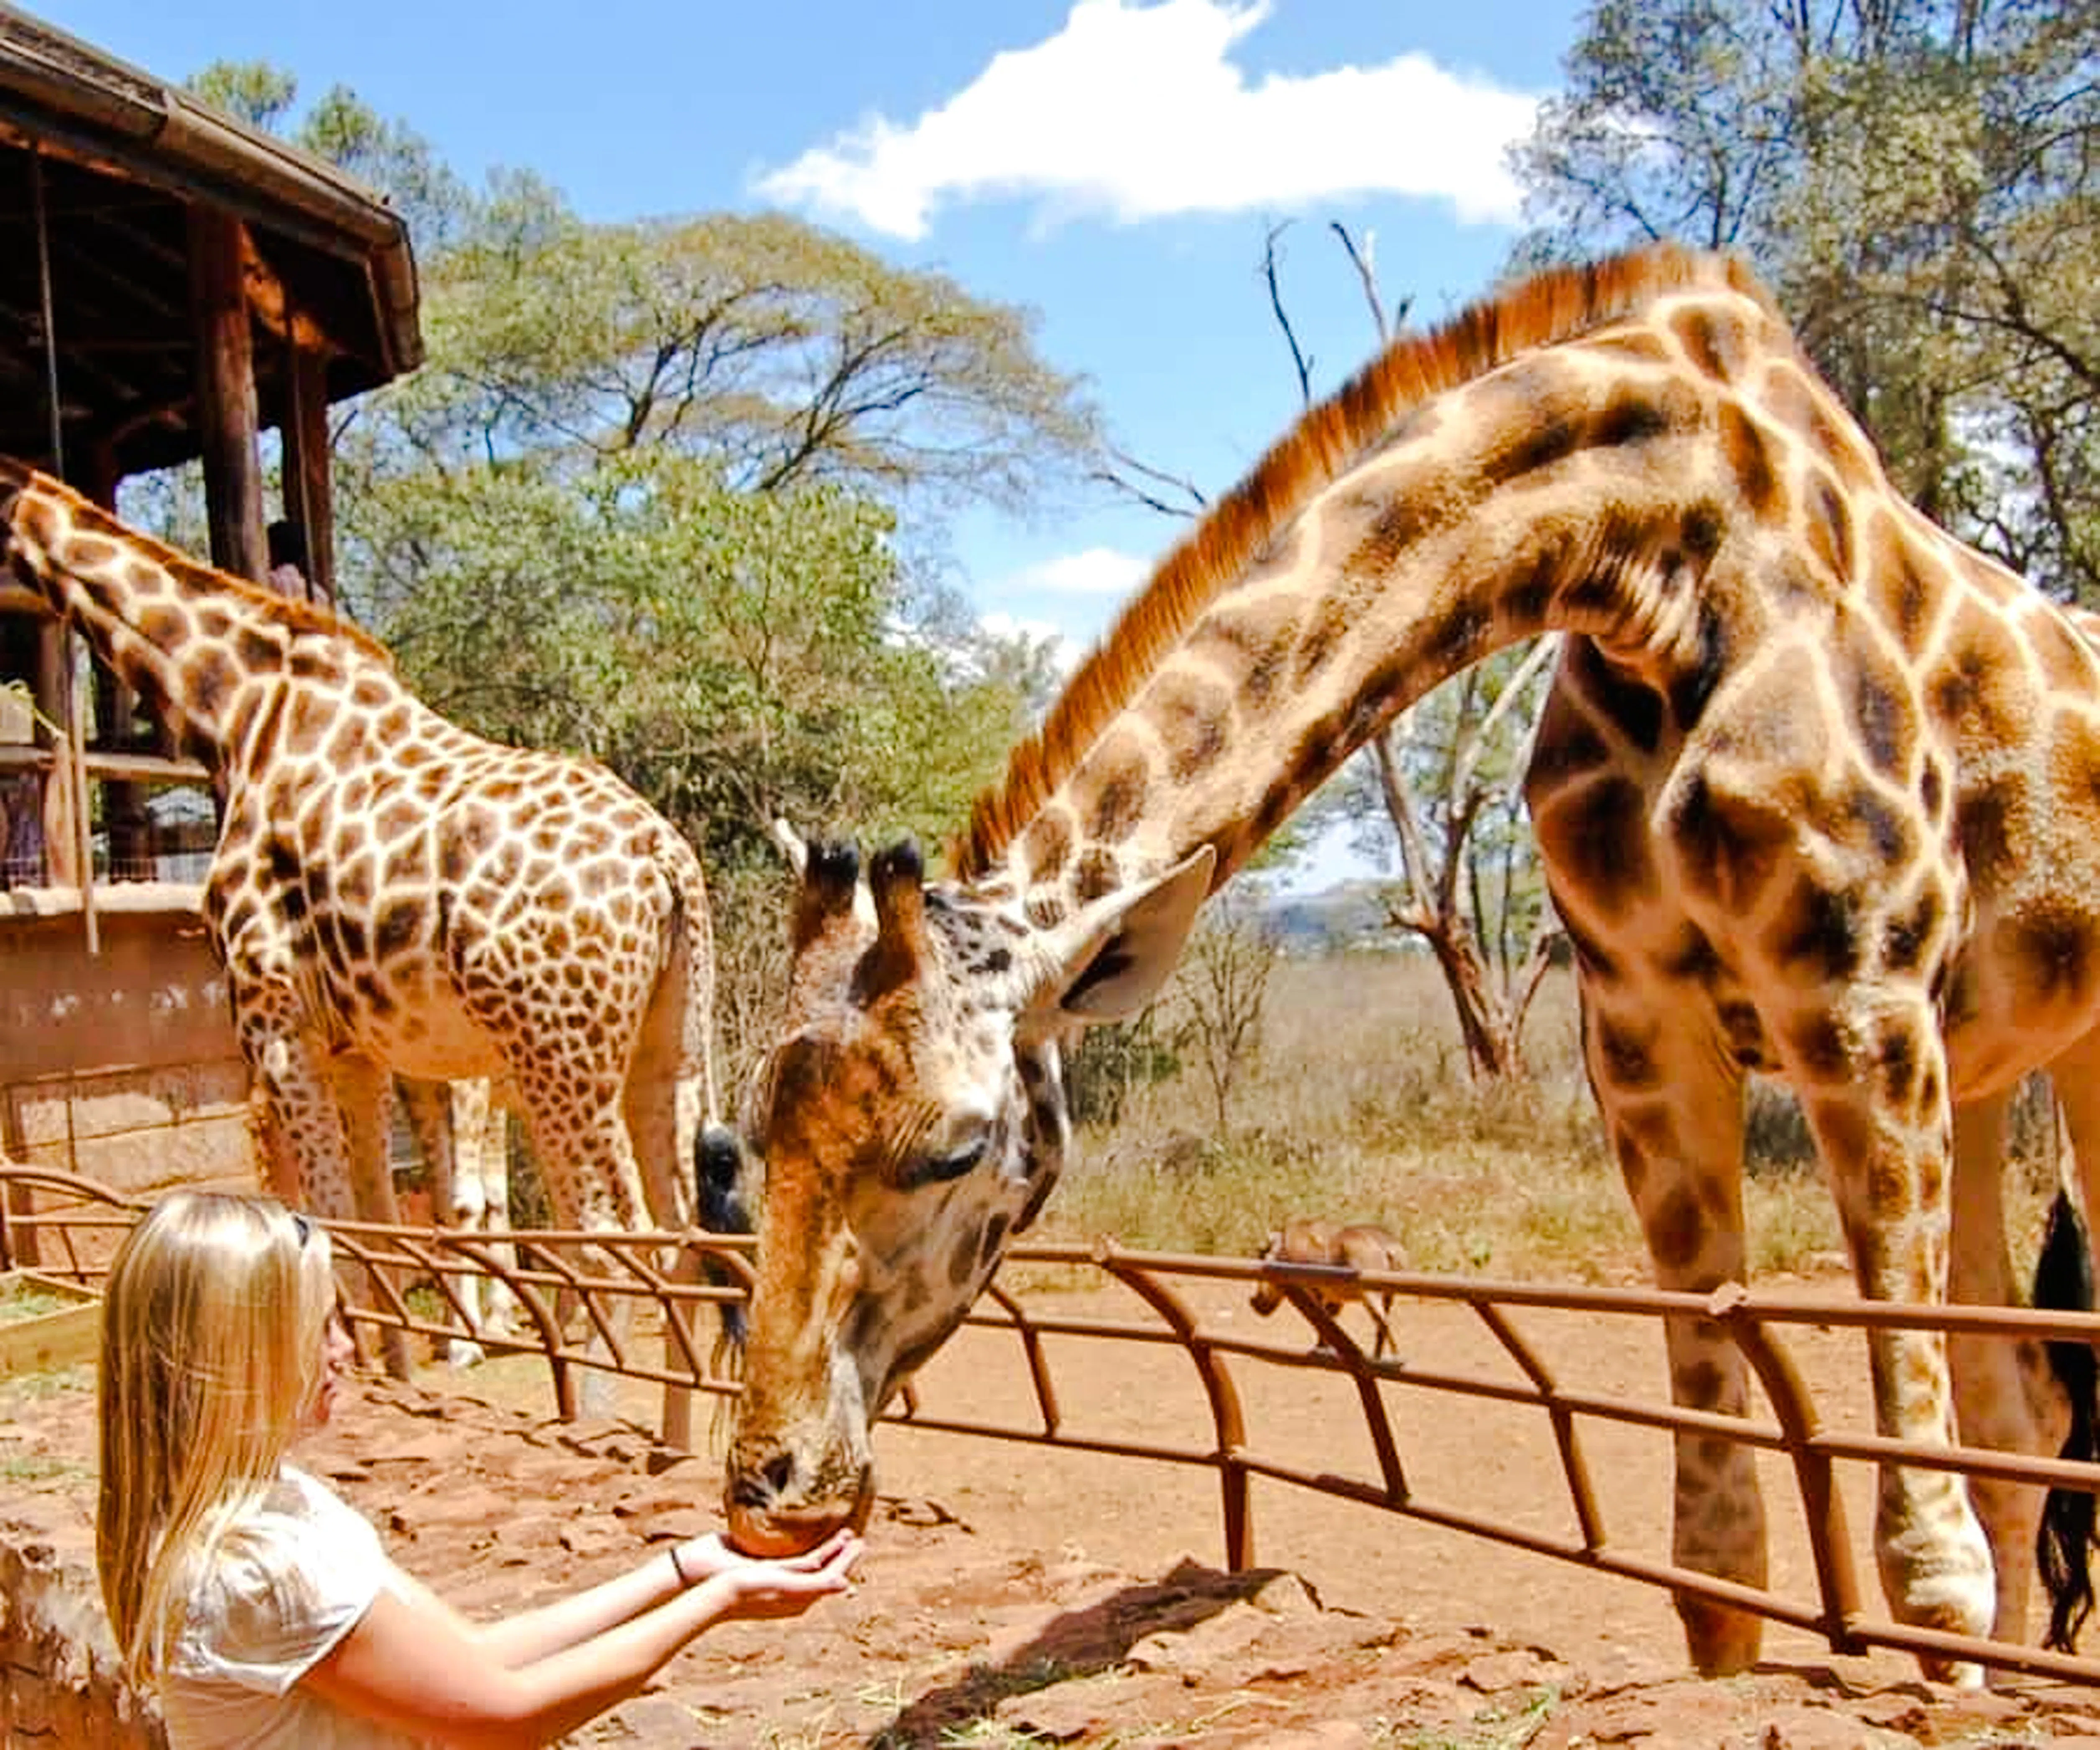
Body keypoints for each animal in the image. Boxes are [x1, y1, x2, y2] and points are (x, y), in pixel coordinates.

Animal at [0, 462, 732, 1392]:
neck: (236, 713)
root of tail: (666, 859)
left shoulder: (273, 1019)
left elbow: (330, 1214)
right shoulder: (358, 1045)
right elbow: (380, 1214)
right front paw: (399, 1364)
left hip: (556, 1052)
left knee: (609, 1240)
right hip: (662, 1046)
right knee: (680, 1236)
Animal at [721, 242, 2100, 1682]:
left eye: (951, 1150)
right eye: (754, 1135)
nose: (769, 1487)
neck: (1659, 556)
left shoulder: (1859, 1000)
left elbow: (1929, 1568)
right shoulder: (1642, 1034)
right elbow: (1718, 1566)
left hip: (2062, 1051)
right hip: (1984, 1068)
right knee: (2021, 1401)